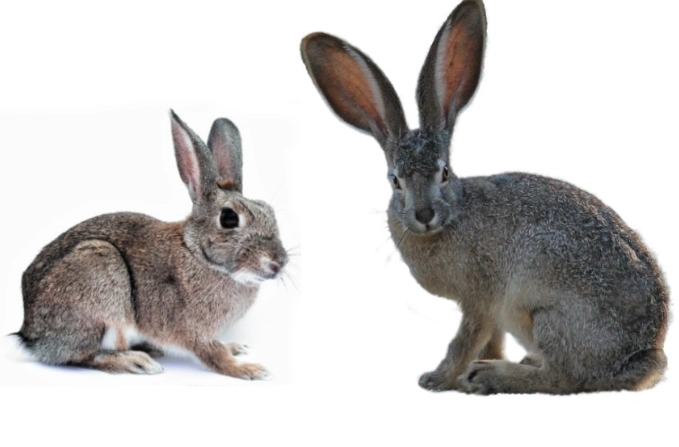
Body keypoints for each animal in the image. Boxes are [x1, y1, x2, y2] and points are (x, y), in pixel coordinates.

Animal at [15, 110, 288, 379]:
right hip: (98, 280)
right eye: (229, 218)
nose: (279, 262)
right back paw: (135, 361)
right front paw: (249, 369)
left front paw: (235, 348)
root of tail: (30, 337)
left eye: (269, 211)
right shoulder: (194, 331)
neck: (198, 255)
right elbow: (213, 355)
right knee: (83, 357)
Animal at [300, 0, 669, 394]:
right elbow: (489, 339)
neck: (455, 214)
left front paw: (439, 378)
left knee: (565, 377)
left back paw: (492, 375)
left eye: (444, 172)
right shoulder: (486, 308)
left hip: (549, 315)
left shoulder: (481, 297)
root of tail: (642, 358)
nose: (424, 214)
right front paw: (470, 370)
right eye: (395, 181)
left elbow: (465, 339)